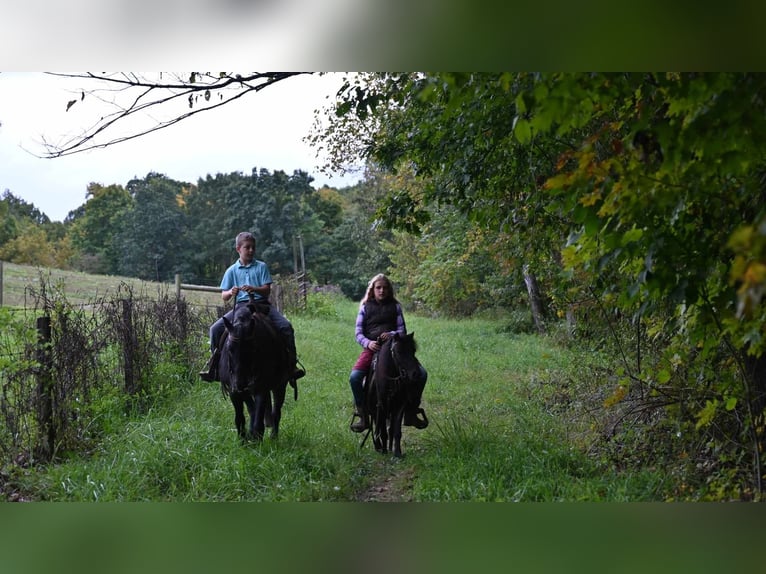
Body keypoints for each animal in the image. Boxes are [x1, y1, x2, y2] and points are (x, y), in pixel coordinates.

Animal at [224, 300, 296, 444]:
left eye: (252, 349)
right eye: (229, 348)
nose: (240, 384)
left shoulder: (261, 389)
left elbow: (259, 421)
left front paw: (256, 439)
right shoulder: (234, 391)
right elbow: (240, 418)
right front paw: (243, 441)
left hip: (280, 386)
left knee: (276, 412)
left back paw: (273, 436)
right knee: (252, 410)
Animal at [368, 332, 426, 460]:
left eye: (413, 350)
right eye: (399, 352)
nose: (416, 374)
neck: (391, 378)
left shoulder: (400, 405)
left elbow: (396, 431)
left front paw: (397, 453)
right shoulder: (382, 405)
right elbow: (383, 430)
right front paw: (384, 451)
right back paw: (379, 446)